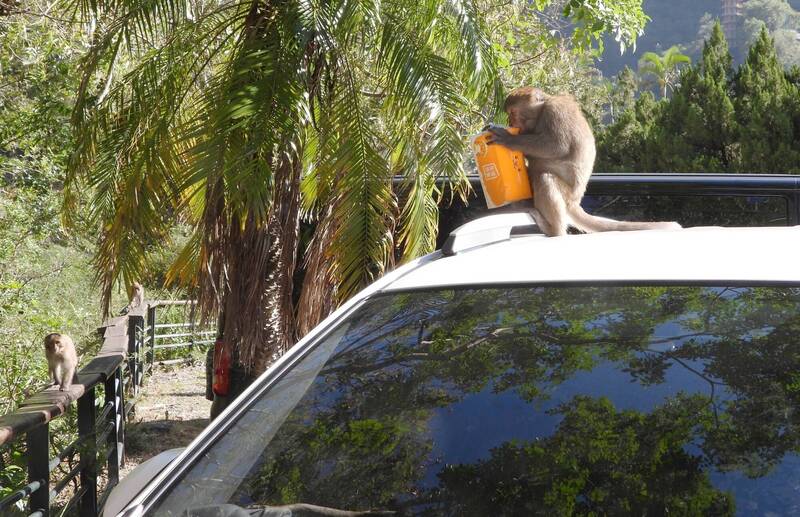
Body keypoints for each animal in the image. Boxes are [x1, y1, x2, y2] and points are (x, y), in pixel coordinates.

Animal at [484, 86, 680, 236]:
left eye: (513, 113)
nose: (510, 122)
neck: (541, 113)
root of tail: (575, 202)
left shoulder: (556, 111)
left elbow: (557, 146)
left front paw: (509, 139)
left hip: (566, 194)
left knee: (544, 178)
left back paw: (553, 230)